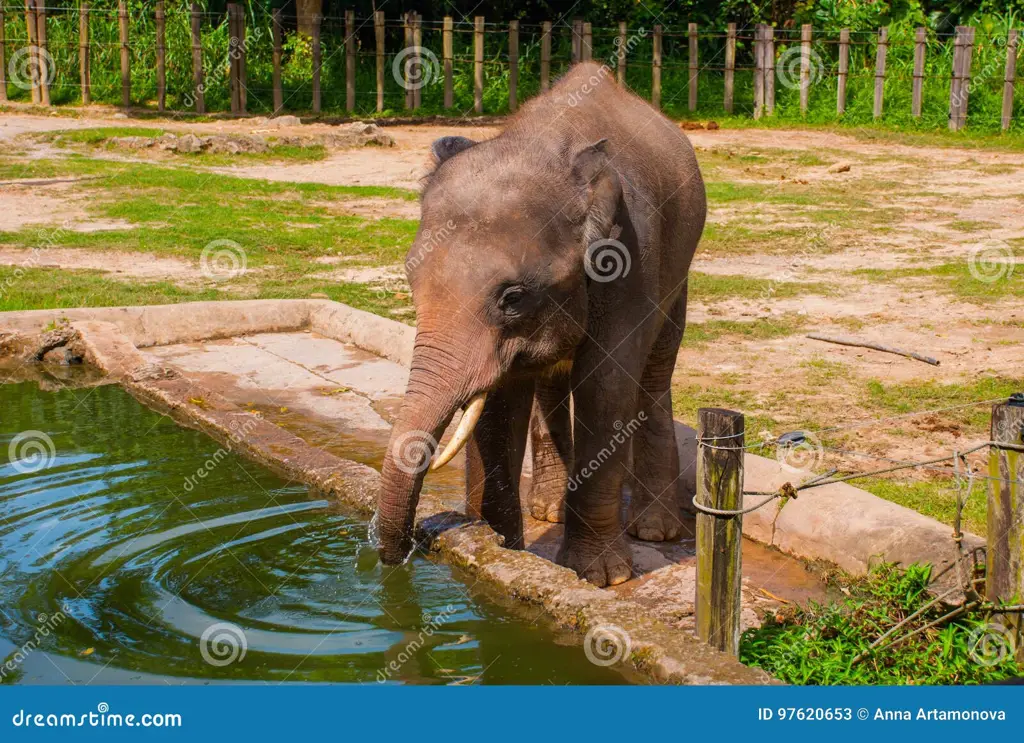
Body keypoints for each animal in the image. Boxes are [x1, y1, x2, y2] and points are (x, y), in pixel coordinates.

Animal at [374, 62, 704, 589]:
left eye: (512, 297)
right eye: (410, 280)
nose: (406, 552)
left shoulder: (631, 258)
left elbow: (605, 385)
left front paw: (600, 578)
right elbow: (497, 401)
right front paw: (497, 545)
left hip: (679, 268)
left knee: (653, 371)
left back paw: (655, 530)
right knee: (551, 382)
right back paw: (548, 511)